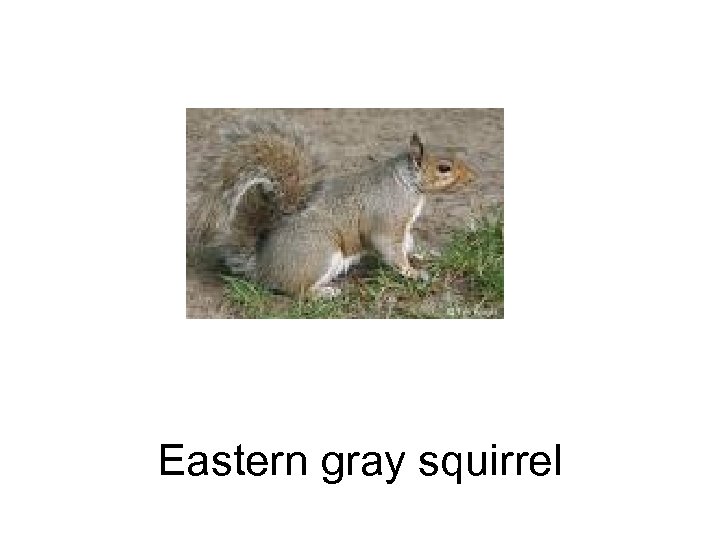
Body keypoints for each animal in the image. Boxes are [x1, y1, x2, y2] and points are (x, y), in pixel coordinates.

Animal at [188, 118, 476, 297]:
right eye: (444, 168)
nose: (473, 177)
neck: (407, 184)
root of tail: (261, 267)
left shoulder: (403, 228)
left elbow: (408, 244)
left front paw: (427, 255)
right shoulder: (387, 217)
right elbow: (390, 249)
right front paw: (413, 273)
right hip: (319, 254)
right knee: (296, 292)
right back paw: (323, 292)